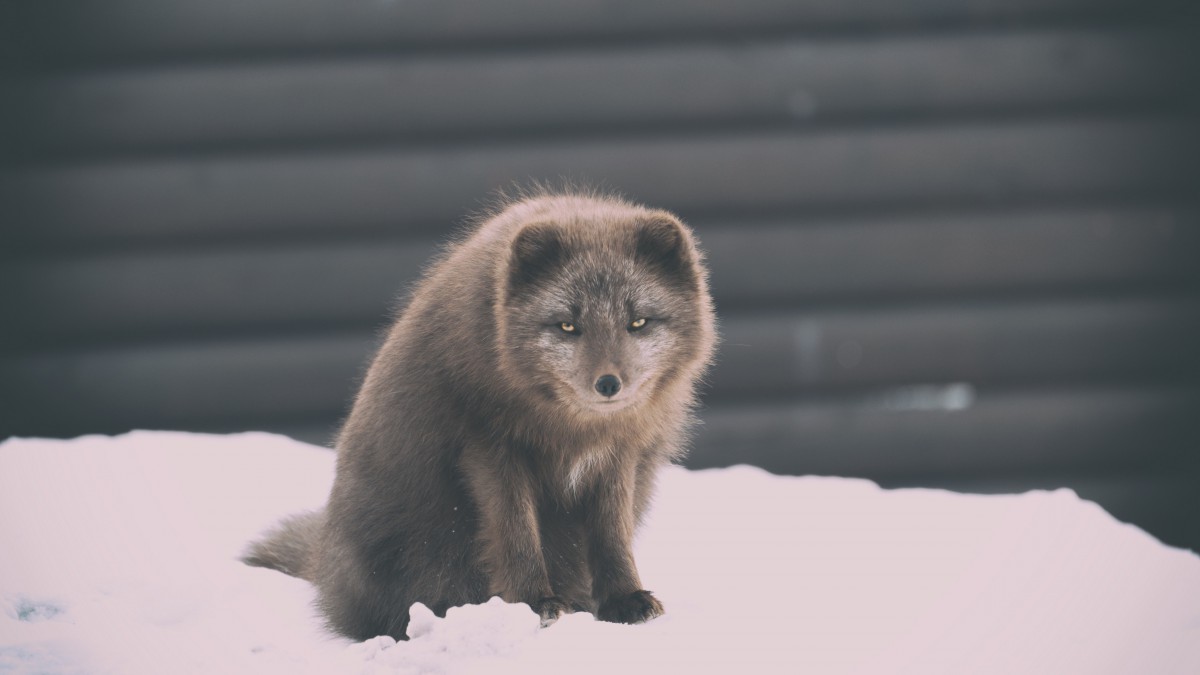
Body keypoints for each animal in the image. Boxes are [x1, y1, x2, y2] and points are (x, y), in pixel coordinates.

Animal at [238, 187, 715, 634]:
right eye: (567, 325)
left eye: (638, 322)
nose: (609, 384)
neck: (573, 431)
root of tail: (322, 562)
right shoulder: (490, 449)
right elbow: (517, 532)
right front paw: (535, 604)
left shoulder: (620, 456)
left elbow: (612, 535)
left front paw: (624, 599)